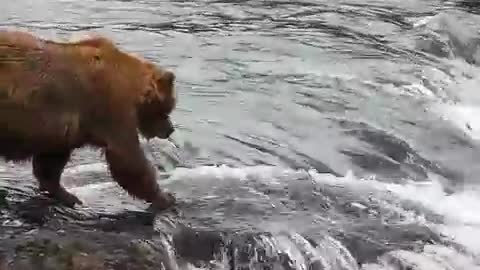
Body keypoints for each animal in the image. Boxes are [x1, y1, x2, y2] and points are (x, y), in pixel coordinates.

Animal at [0, 29, 178, 211]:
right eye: (168, 107)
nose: (170, 129)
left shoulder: (63, 130)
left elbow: (50, 162)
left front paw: (68, 195)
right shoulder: (111, 109)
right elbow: (127, 158)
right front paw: (165, 197)